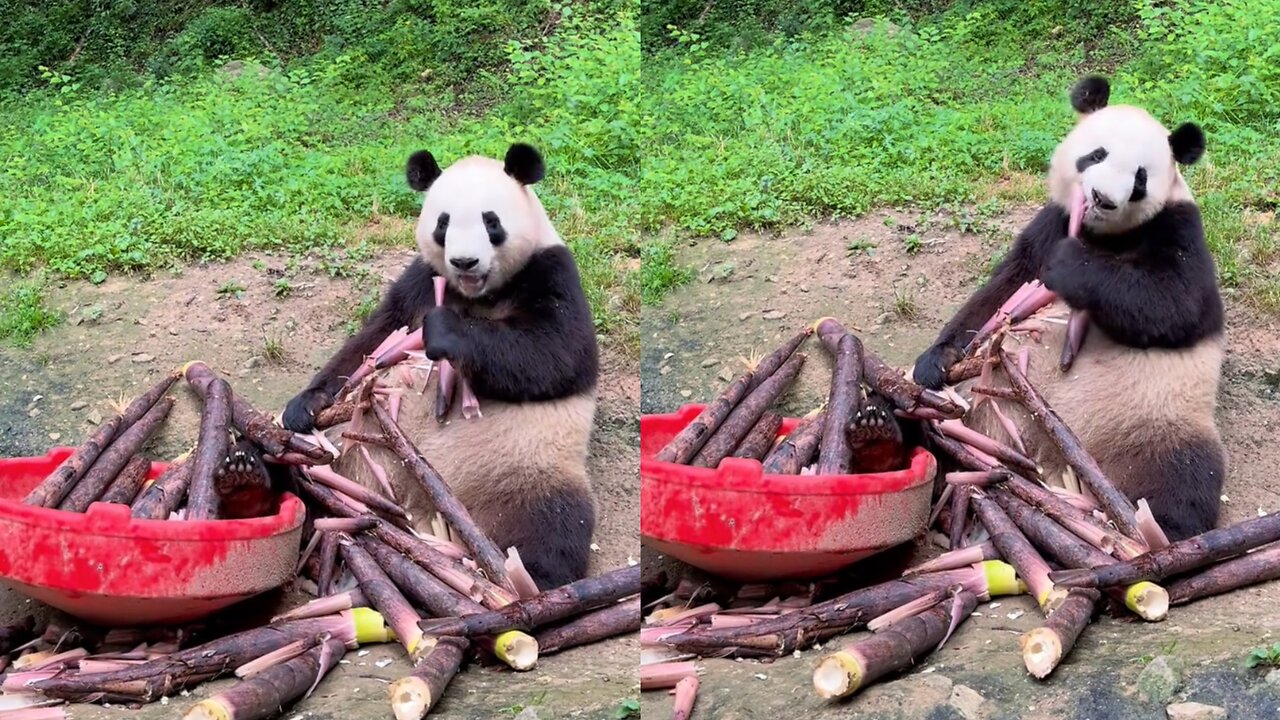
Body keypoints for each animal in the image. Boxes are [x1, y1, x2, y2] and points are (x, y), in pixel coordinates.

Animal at [281, 142, 599, 586]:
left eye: (490, 221)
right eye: (443, 223)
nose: (465, 262)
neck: (476, 294)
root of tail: (418, 512)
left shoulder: (550, 271)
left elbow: (557, 353)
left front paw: (446, 332)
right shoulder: (421, 280)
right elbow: (374, 339)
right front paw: (306, 405)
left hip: (524, 466)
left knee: (552, 524)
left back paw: (529, 577)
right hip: (344, 455)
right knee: (297, 476)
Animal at [916, 77, 1223, 538]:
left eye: (1140, 178)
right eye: (1097, 154)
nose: (1102, 198)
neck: (1102, 235)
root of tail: (1046, 464)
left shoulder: (1178, 226)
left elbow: (1176, 303)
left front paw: (1071, 266)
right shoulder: (1052, 221)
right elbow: (1003, 290)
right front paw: (937, 360)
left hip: (1159, 419)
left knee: (1184, 476)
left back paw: (1155, 529)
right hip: (973, 404)